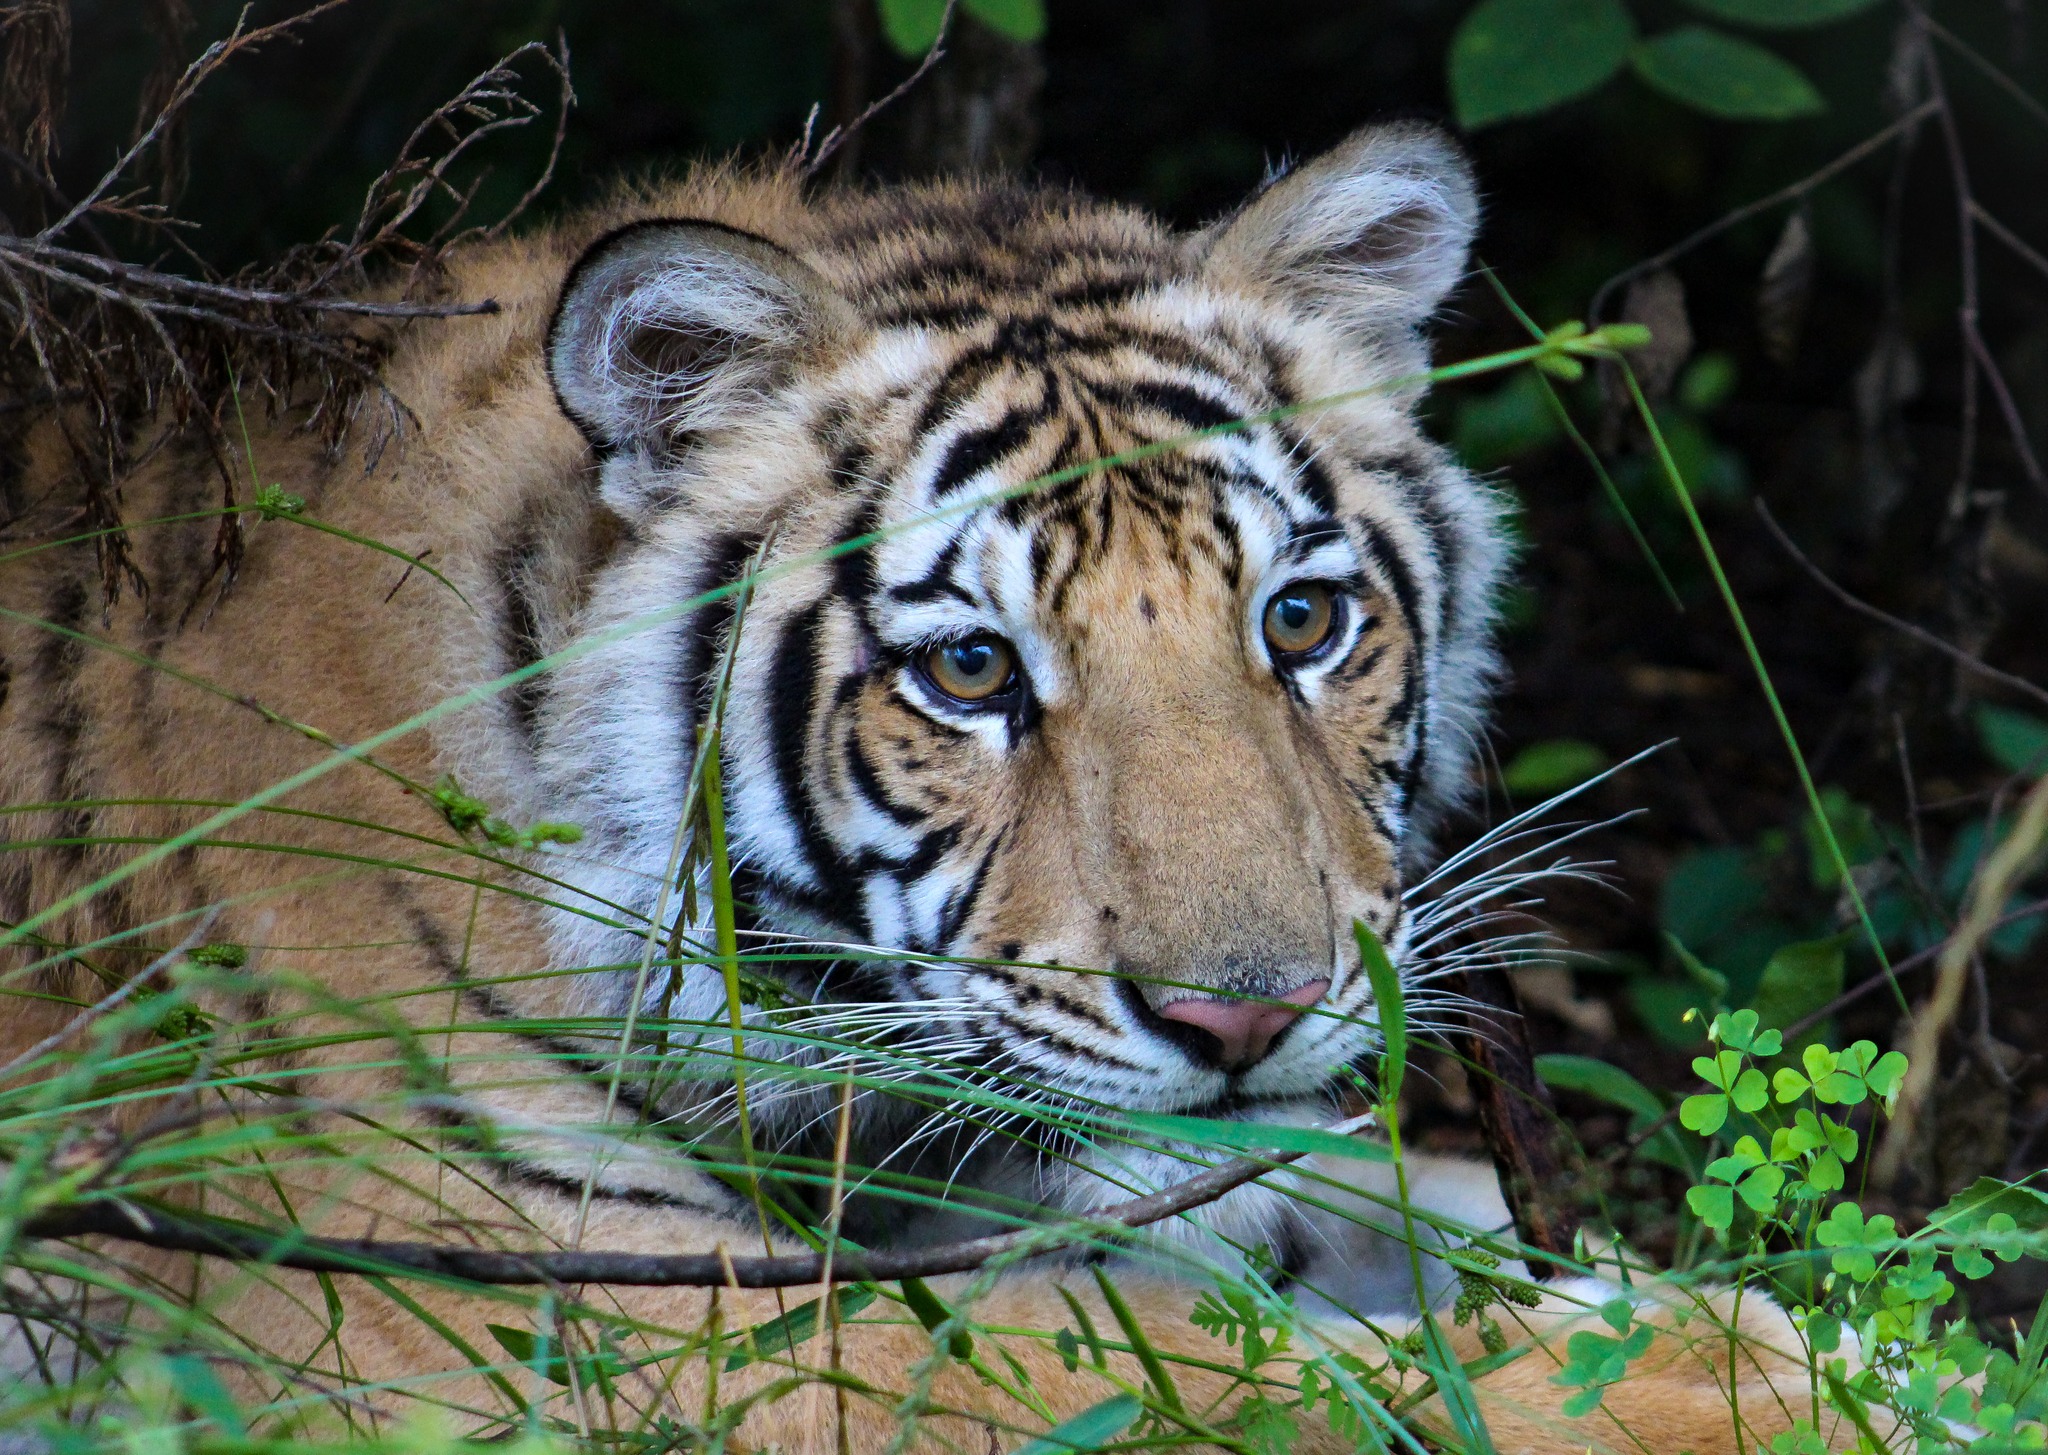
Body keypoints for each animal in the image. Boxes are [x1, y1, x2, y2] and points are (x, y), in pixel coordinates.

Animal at [0, 125, 1851, 1455]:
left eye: (1300, 621)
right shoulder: (490, 1302)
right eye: (969, 670)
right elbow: (1192, 1382)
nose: (1247, 1018)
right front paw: (1741, 1381)